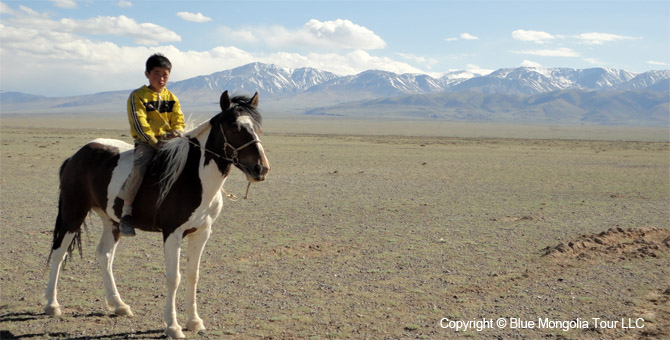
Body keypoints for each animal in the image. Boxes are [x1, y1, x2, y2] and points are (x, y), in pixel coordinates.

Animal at [44, 89, 272, 338]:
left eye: (258, 128)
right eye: (234, 127)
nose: (261, 168)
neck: (193, 177)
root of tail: (75, 156)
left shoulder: (201, 232)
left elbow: (193, 275)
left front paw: (194, 321)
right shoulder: (172, 233)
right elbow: (174, 278)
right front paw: (173, 326)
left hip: (111, 221)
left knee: (104, 255)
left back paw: (118, 305)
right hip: (73, 212)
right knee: (59, 252)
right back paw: (52, 305)